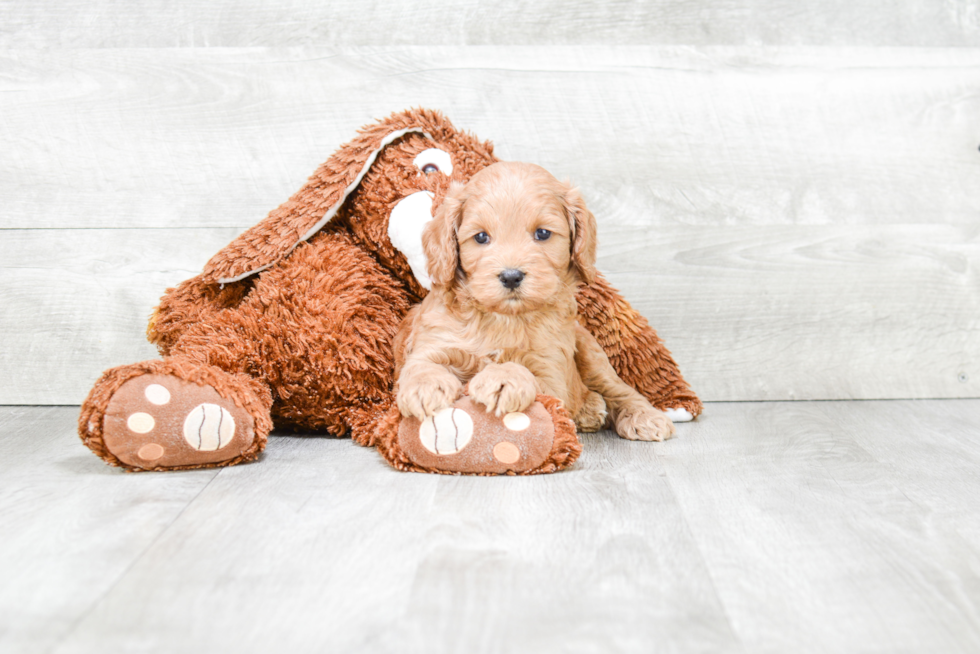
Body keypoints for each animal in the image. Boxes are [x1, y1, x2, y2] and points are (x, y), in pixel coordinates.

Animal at [392, 161, 672, 444]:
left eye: (543, 233)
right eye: (481, 237)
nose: (511, 276)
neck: (503, 318)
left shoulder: (550, 372)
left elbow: (530, 376)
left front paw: (503, 378)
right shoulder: (435, 342)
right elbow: (420, 366)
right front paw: (424, 387)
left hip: (591, 353)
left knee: (617, 388)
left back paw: (641, 415)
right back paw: (590, 410)